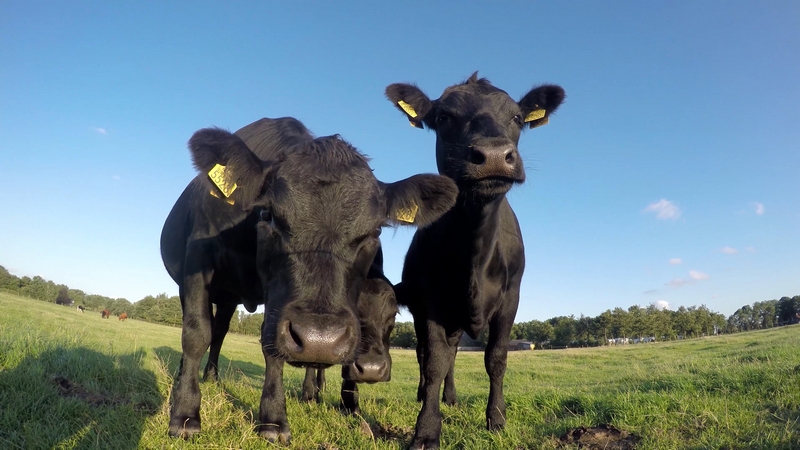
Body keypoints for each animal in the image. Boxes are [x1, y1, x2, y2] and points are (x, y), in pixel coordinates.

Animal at [159, 117, 456, 442]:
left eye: (375, 231)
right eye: (268, 215)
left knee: (222, 330)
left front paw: (273, 420)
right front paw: (185, 414)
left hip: (228, 299)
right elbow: (196, 333)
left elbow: (270, 345)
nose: (319, 339)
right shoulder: (198, 259)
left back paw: (215, 377)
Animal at [386, 72, 564, 448]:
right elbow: (434, 361)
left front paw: (496, 418)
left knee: (454, 353)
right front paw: (426, 429)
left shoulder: (511, 297)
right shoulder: (430, 300)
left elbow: (496, 357)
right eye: (443, 117)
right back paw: (427, 395)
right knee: (428, 354)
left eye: (517, 118)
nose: (494, 155)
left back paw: (450, 398)